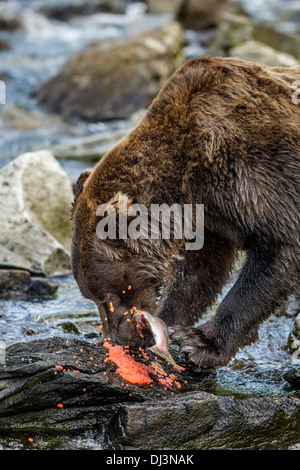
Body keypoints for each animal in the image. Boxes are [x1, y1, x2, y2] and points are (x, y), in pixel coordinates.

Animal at [71, 56, 300, 368]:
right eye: (89, 295)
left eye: (107, 294)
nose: (115, 338)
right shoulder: (211, 217)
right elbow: (198, 271)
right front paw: (165, 324)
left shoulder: (259, 173)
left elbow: (278, 249)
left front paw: (201, 342)